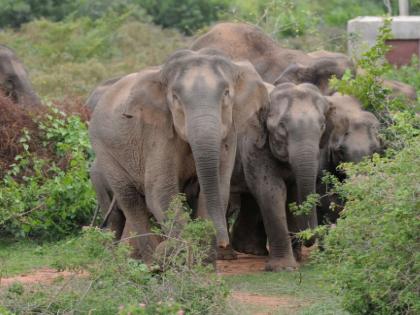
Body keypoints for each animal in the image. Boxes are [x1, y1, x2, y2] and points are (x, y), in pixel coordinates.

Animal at [228, 82, 334, 272]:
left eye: (322, 125)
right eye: (282, 126)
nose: (309, 239)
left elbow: (293, 193)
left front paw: (296, 258)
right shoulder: (253, 143)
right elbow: (272, 190)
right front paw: (284, 268)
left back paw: (250, 251)